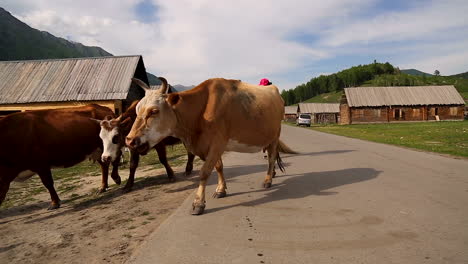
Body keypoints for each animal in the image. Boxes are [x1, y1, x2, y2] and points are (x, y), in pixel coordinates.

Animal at [127, 76, 296, 214]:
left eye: (154, 111)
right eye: (136, 111)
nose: (129, 140)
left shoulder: (217, 143)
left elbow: (204, 172)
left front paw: (198, 203)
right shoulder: (208, 146)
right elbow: (219, 167)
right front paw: (221, 189)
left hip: (275, 136)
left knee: (271, 158)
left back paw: (268, 180)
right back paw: (272, 174)